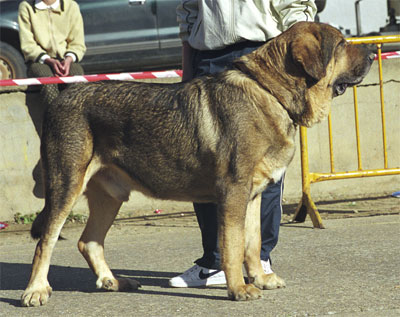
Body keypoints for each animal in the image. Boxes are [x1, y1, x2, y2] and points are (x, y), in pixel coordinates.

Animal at [21, 21, 374, 304]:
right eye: (341, 44)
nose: (372, 52)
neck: (269, 92)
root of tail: (61, 97)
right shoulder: (233, 193)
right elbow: (233, 246)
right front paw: (239, 289)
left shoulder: (254, 196)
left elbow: (252, 243)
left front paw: (259, 278)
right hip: (66, 185)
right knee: (46, 242)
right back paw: (36, 290)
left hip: (110, 195)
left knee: (89, 242)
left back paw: (112, 281)